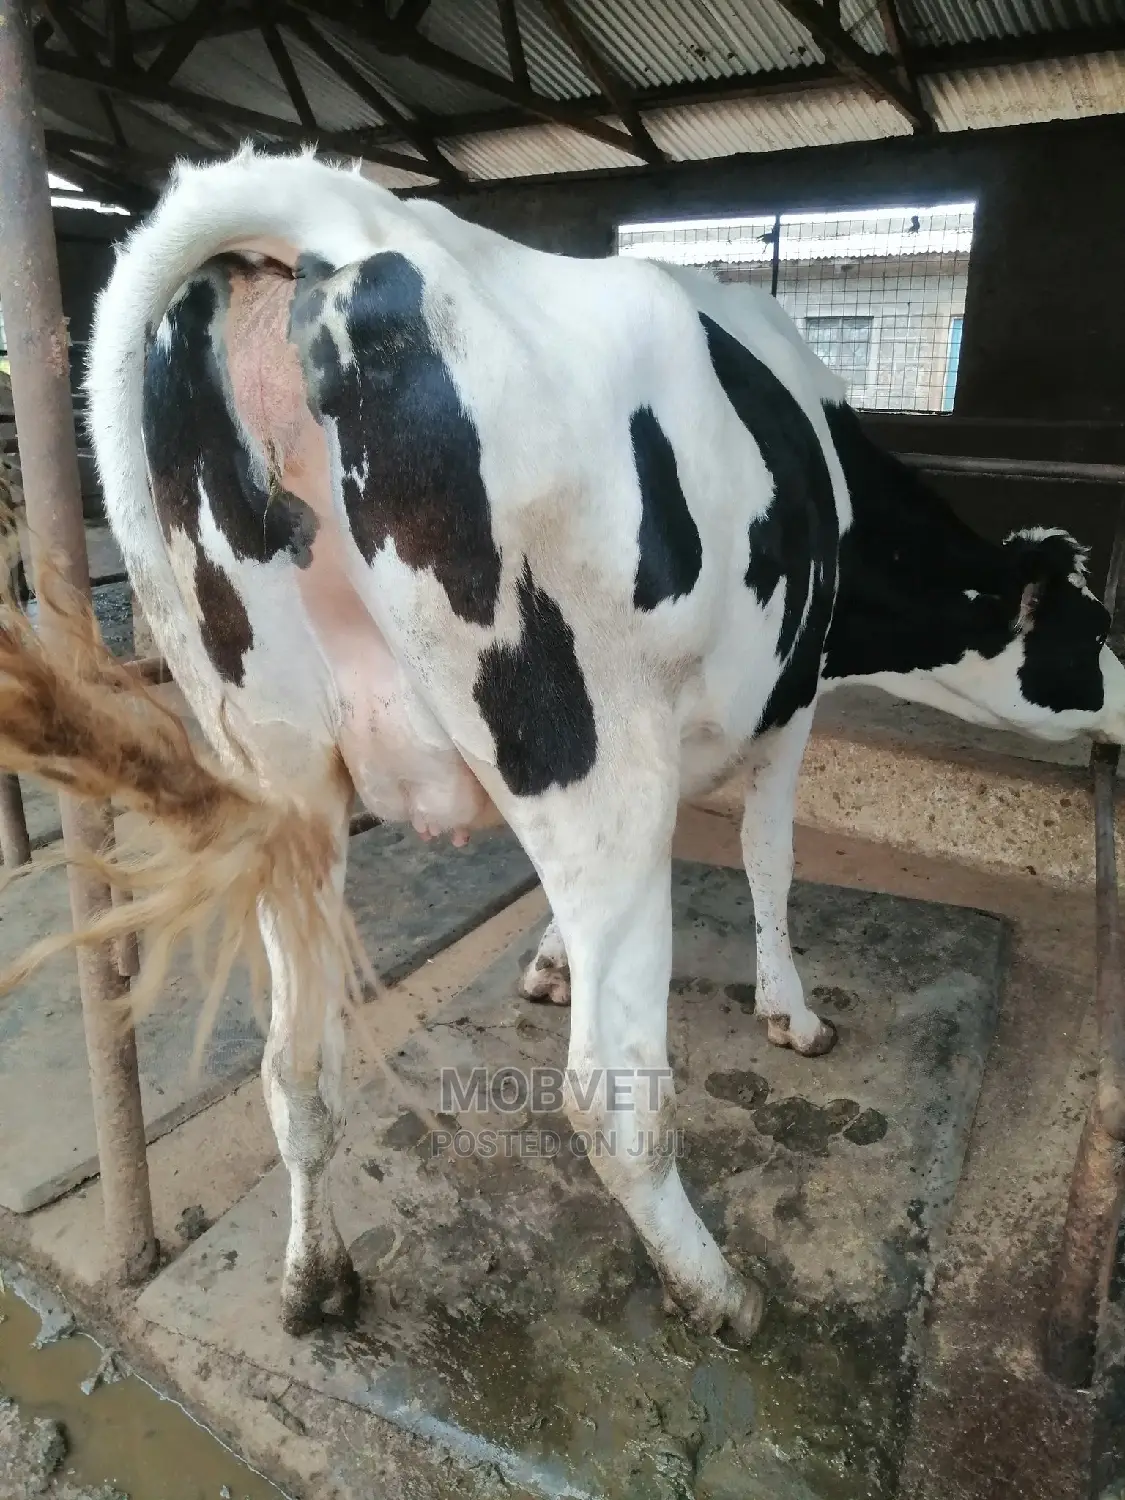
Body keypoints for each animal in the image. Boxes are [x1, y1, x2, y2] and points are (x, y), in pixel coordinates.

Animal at [17, 145, 1110, 1345]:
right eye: (1092, 627)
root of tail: (334, 214)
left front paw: (548, 958)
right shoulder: (787, 706)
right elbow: (769, 861)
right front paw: (793, 1012)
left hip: (282, 776)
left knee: (296, 1065)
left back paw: (316, 1282)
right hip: (588, 755)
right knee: (612, 1095)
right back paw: (718, 1294)